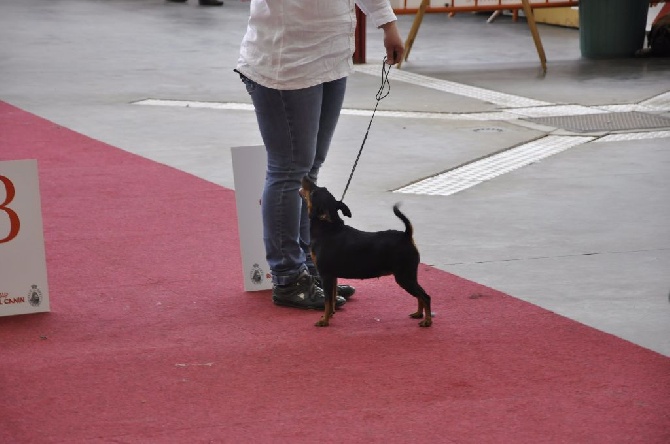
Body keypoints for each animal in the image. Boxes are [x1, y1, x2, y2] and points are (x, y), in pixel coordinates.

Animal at [302, 176, 434, 326]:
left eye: (313, 194)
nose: (305, 177)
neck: (328, 229)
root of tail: (406, 235)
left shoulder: (326, 275)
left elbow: (327, 300)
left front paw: (324, 320)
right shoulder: (332, 276)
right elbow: (333, 298)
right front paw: (329, 315)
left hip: (404, 277)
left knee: (425, 296)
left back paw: (427, 321)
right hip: (409, 276)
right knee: (420, 295)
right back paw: (419, 314)